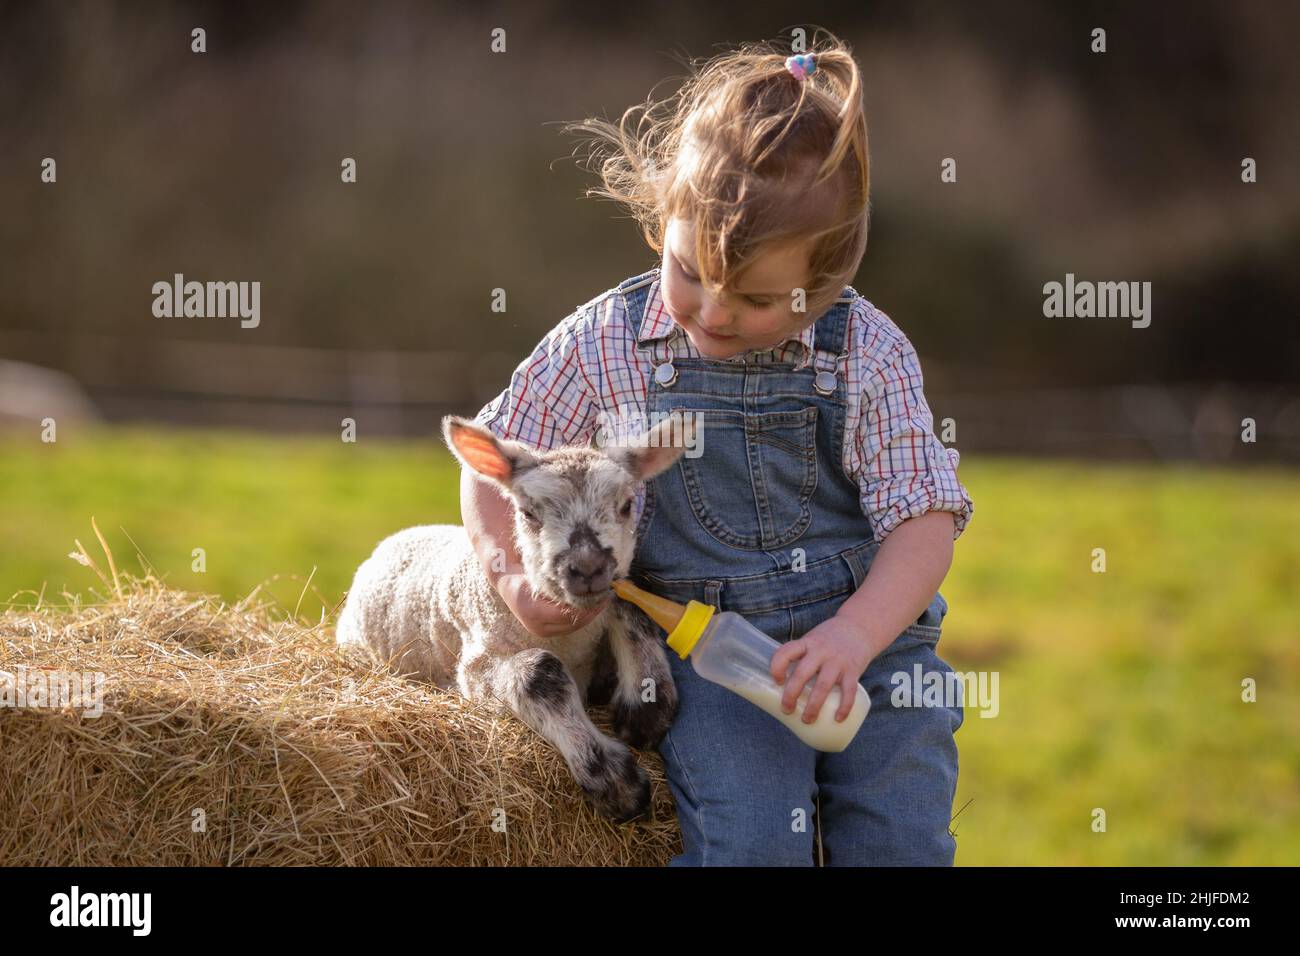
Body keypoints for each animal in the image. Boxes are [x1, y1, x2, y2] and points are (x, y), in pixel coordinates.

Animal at [335, 411, 691, 822]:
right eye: (528, 513)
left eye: (627, 505)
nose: (587, 567)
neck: (571, 640)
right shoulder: (474, 668)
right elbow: (537, 675)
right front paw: (615, 782)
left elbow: (633, 604)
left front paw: (646, 711)